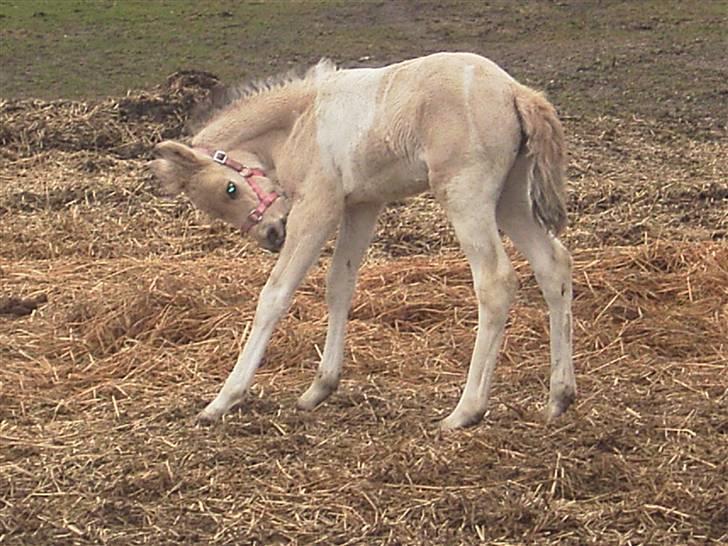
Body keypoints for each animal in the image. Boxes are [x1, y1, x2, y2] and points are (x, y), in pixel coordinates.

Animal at [151, 52, 576, 430]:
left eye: (230, 189)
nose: (272, 235)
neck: (300, 120)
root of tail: (515, 91)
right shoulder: (362, 205)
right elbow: (339, 284)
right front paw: (320, 388)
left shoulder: (317, 207)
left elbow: (275, 294)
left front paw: (223, 400)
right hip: (510, 199)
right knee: (553, 265)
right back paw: (558, 398)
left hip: (465, 195)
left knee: (496, 281)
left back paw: (465, 411)